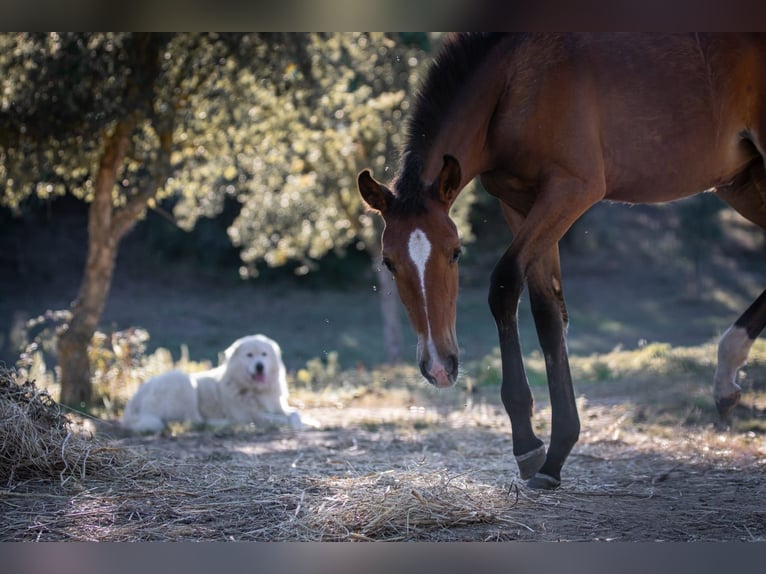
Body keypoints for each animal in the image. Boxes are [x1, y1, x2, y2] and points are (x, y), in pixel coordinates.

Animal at [121, 336, 304, 434]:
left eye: (264, 354)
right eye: (249, 355)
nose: (260, 366)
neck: (256, 390)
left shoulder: (279, 407)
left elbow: (295, 414)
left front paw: (305, 423)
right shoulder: (251, 415)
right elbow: (281, 419)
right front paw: (297, 426)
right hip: (184, 382)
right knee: (195, 421)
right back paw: (226, 424)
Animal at [360, 32, 766, 490]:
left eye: (456, 252)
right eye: (389, 263)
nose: (439, 366)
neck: (516, 78)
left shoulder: (572, 190)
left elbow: (505, 285)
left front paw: (528, 444)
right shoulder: (521, 203)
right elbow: (548, 312)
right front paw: (553, 454)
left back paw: (726, 369)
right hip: (743, 183)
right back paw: (726, 375)